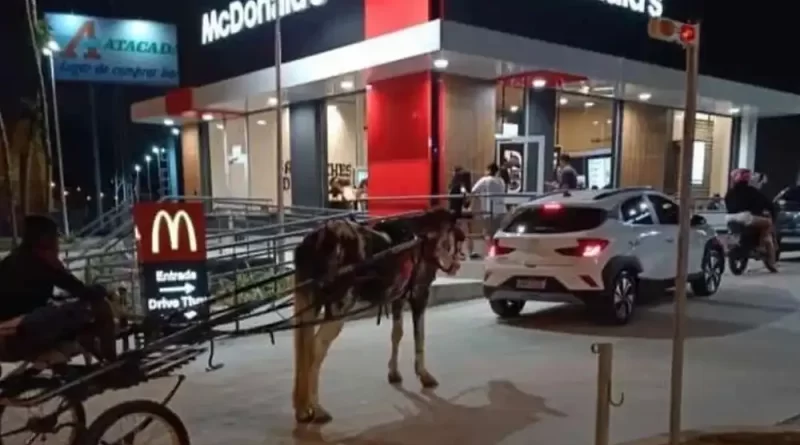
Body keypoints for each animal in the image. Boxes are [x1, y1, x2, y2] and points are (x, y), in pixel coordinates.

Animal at [290, 206, 466, 422]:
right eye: (457, 237)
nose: (457, 265)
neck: (424, 237)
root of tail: (318, 239)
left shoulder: (397, 297)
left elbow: (397, 334)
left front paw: (394, 372)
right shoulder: (420, 293)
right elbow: (420, 337)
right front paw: (424, 375)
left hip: (308, 302)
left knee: (303, 347)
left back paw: (302, 408)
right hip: (340, 306)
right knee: (315, 348)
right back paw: (316, 408)